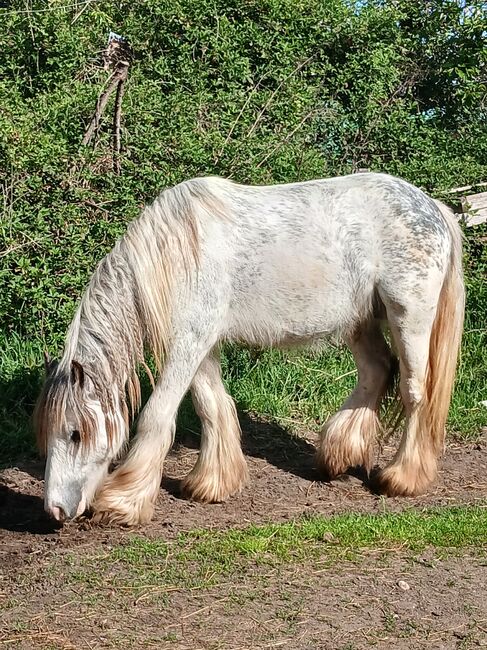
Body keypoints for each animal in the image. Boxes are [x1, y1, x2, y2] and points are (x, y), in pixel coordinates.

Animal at [34, 172, 465, 526]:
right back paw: (337, 455)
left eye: (75, 433)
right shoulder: (200, 344)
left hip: (408, 317)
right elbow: (211, 406)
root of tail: (433, 207)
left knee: (414, 392)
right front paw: (211, 484)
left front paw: (123, 502)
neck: (176, 255)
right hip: (360, 320)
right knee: (377, 370)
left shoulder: (189, 343)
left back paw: (402, 477)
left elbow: (157, 415)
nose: (55, 510)